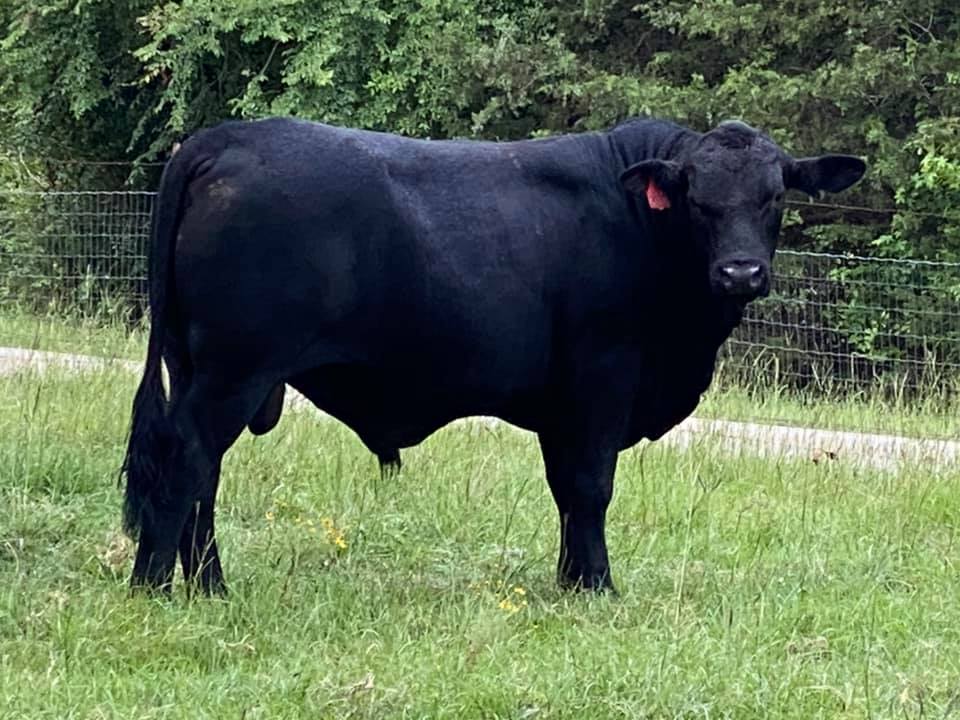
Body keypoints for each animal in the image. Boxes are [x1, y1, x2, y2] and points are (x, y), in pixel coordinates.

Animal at [121, 116, 865, 595]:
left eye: (775, 198)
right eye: (699, 200)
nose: (741, 273)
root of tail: (223, 138)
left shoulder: (563, 405)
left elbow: (566, 490)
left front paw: (570, 581)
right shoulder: (602, 380)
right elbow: (591, 487)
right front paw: (598, 587)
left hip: (201, 368)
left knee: (201, 472)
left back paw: (209, 585)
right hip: (233, 373)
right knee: (186, 460)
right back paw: (156, 585)